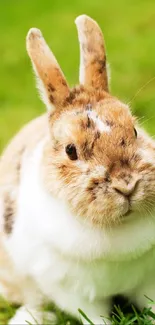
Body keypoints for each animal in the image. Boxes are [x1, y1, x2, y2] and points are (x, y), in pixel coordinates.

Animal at [0, 13, 155, 324]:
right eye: (71, 151)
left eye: (134, 130)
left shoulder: (149, 277)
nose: (127, 184)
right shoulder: (72, 292)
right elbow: (94, 316)